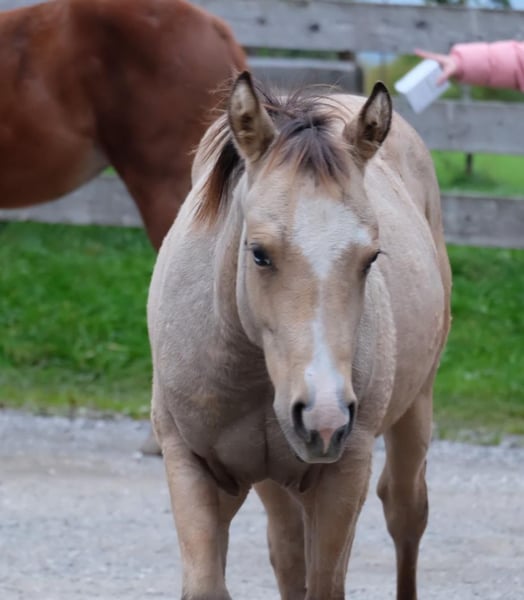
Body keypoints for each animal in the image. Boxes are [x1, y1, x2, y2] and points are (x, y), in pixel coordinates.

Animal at [148, 71, 451, 599]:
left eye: (371, 258)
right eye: (259, 253)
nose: (323, 417)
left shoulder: (342, 474)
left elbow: (326, 583)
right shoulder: (189, 463)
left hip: (415, 409)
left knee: (406, 511)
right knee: (287, 550)